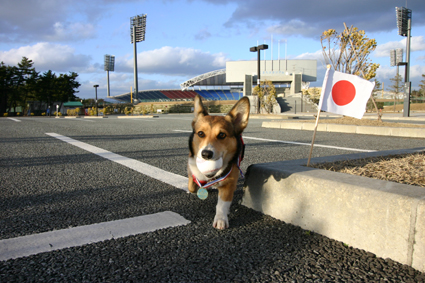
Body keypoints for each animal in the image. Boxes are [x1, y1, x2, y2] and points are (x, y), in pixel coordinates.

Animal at [188, 95, 248, 231]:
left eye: (222, 135)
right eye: (200, 133)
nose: (206, 154)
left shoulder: (230, 181)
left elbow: (222, 204)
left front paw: (221, 219)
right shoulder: (191, 166)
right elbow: (192, 185)